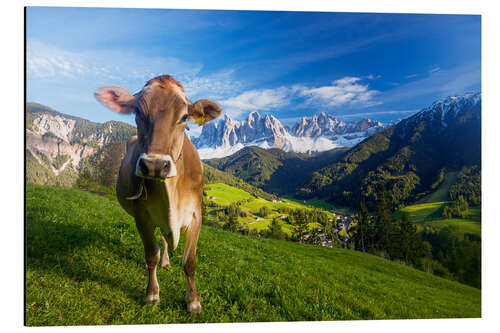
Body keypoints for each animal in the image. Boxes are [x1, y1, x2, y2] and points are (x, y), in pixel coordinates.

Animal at [94, 74, 223, 312]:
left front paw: (193, 301)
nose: (154, 165)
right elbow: (150, 255)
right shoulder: (142, 217)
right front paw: (152, 294)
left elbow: (190, 261)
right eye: (137, 111)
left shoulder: (196, 215)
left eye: (184, 117)